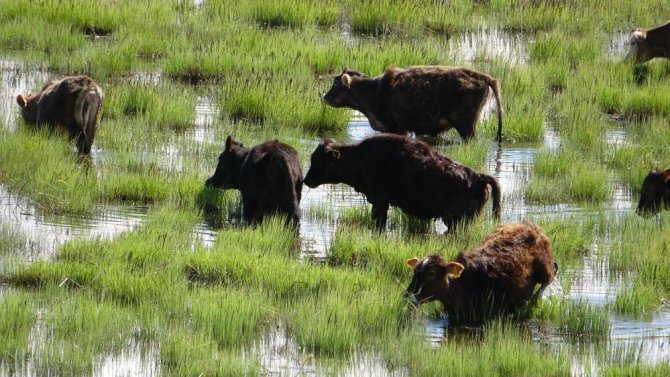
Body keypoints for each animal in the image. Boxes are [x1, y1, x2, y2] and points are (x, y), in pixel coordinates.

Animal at [302, 134, 502, 231]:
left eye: (320, 161)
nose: (306, 180)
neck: (360, 156)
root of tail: (478, 177)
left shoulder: (380, 202)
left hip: (455, 219)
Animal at [322, 64, 504, 141]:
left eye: (335, 83)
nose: (324, 96)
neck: (373, 91)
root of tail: (481, 76)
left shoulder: (395, 127)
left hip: (466, 126)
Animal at [406, 220, 560, 324]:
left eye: (431, 273)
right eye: (415, 272)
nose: (408, 295)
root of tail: (529, 223)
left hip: (544, 266)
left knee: (551, 274)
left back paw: (534, 298)